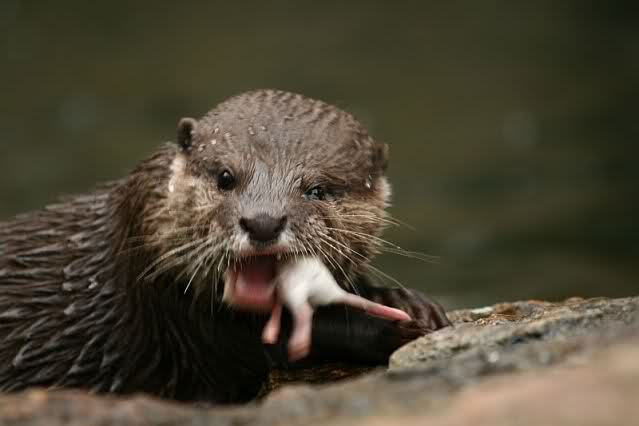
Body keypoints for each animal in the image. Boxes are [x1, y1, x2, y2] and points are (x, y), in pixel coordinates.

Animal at [0, 89, 450, 403]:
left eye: (318, 189)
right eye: (225, 177)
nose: (263, 222)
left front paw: (401, 299)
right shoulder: (178, 312)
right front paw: (392, 323)